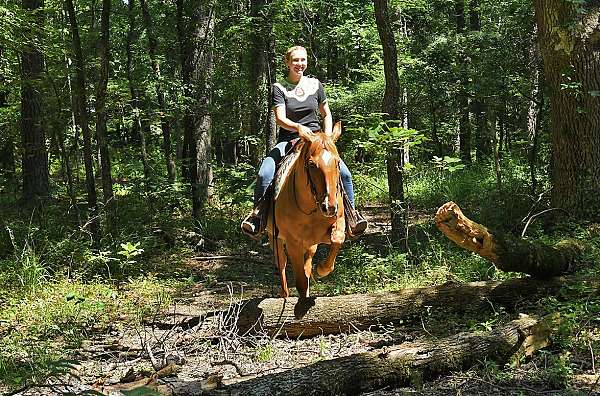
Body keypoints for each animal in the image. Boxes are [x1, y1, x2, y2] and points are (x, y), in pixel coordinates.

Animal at [266, 120, 344, 296]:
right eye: (311, 164)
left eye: (337, 162)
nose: (329, 207)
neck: (311, 209)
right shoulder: (293, 243)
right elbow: (300, 282)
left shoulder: (337, 224)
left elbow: (337, 238)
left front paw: (322, 269)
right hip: (276, 239)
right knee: (282, 264)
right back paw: (284, 295)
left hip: (310, 246)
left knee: (306, 267)